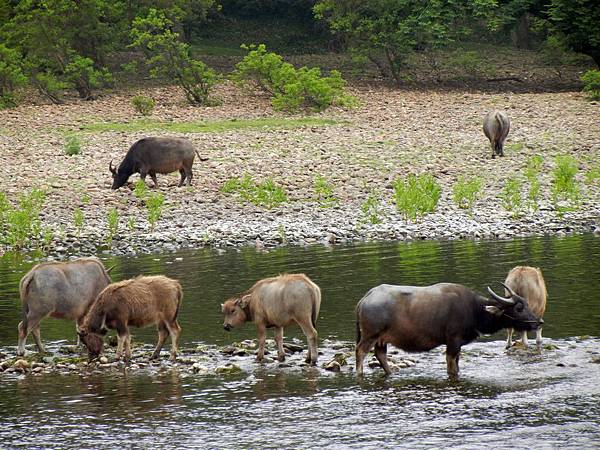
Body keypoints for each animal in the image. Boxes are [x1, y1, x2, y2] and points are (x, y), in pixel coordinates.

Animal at [356, 284, 544, 378]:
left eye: (527, 304)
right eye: (519, 308)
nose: (539, 322)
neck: (474, 309)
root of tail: (366, 297)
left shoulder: (458, 344)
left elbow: (458, 363)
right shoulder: (453, 340)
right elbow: (451, 365)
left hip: (381, 339)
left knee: (380, 354)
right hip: (370, 335)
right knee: (360, 352)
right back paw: (360, 373)